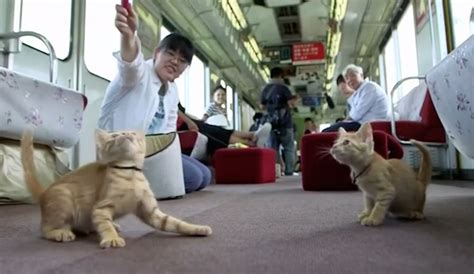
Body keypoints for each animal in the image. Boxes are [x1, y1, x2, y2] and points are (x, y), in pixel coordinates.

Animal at [21, 129, 211, 248]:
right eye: (114, 136)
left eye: (132, 133)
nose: (125, 134)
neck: (129, 173)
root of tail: (45, 192)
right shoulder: (100, 208)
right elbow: (104, 225)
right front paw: (111, 238)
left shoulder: (151, 212)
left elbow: (175, 223)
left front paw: (197, 229)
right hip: (64, 197)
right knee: (45, 229)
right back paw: (60, 232)